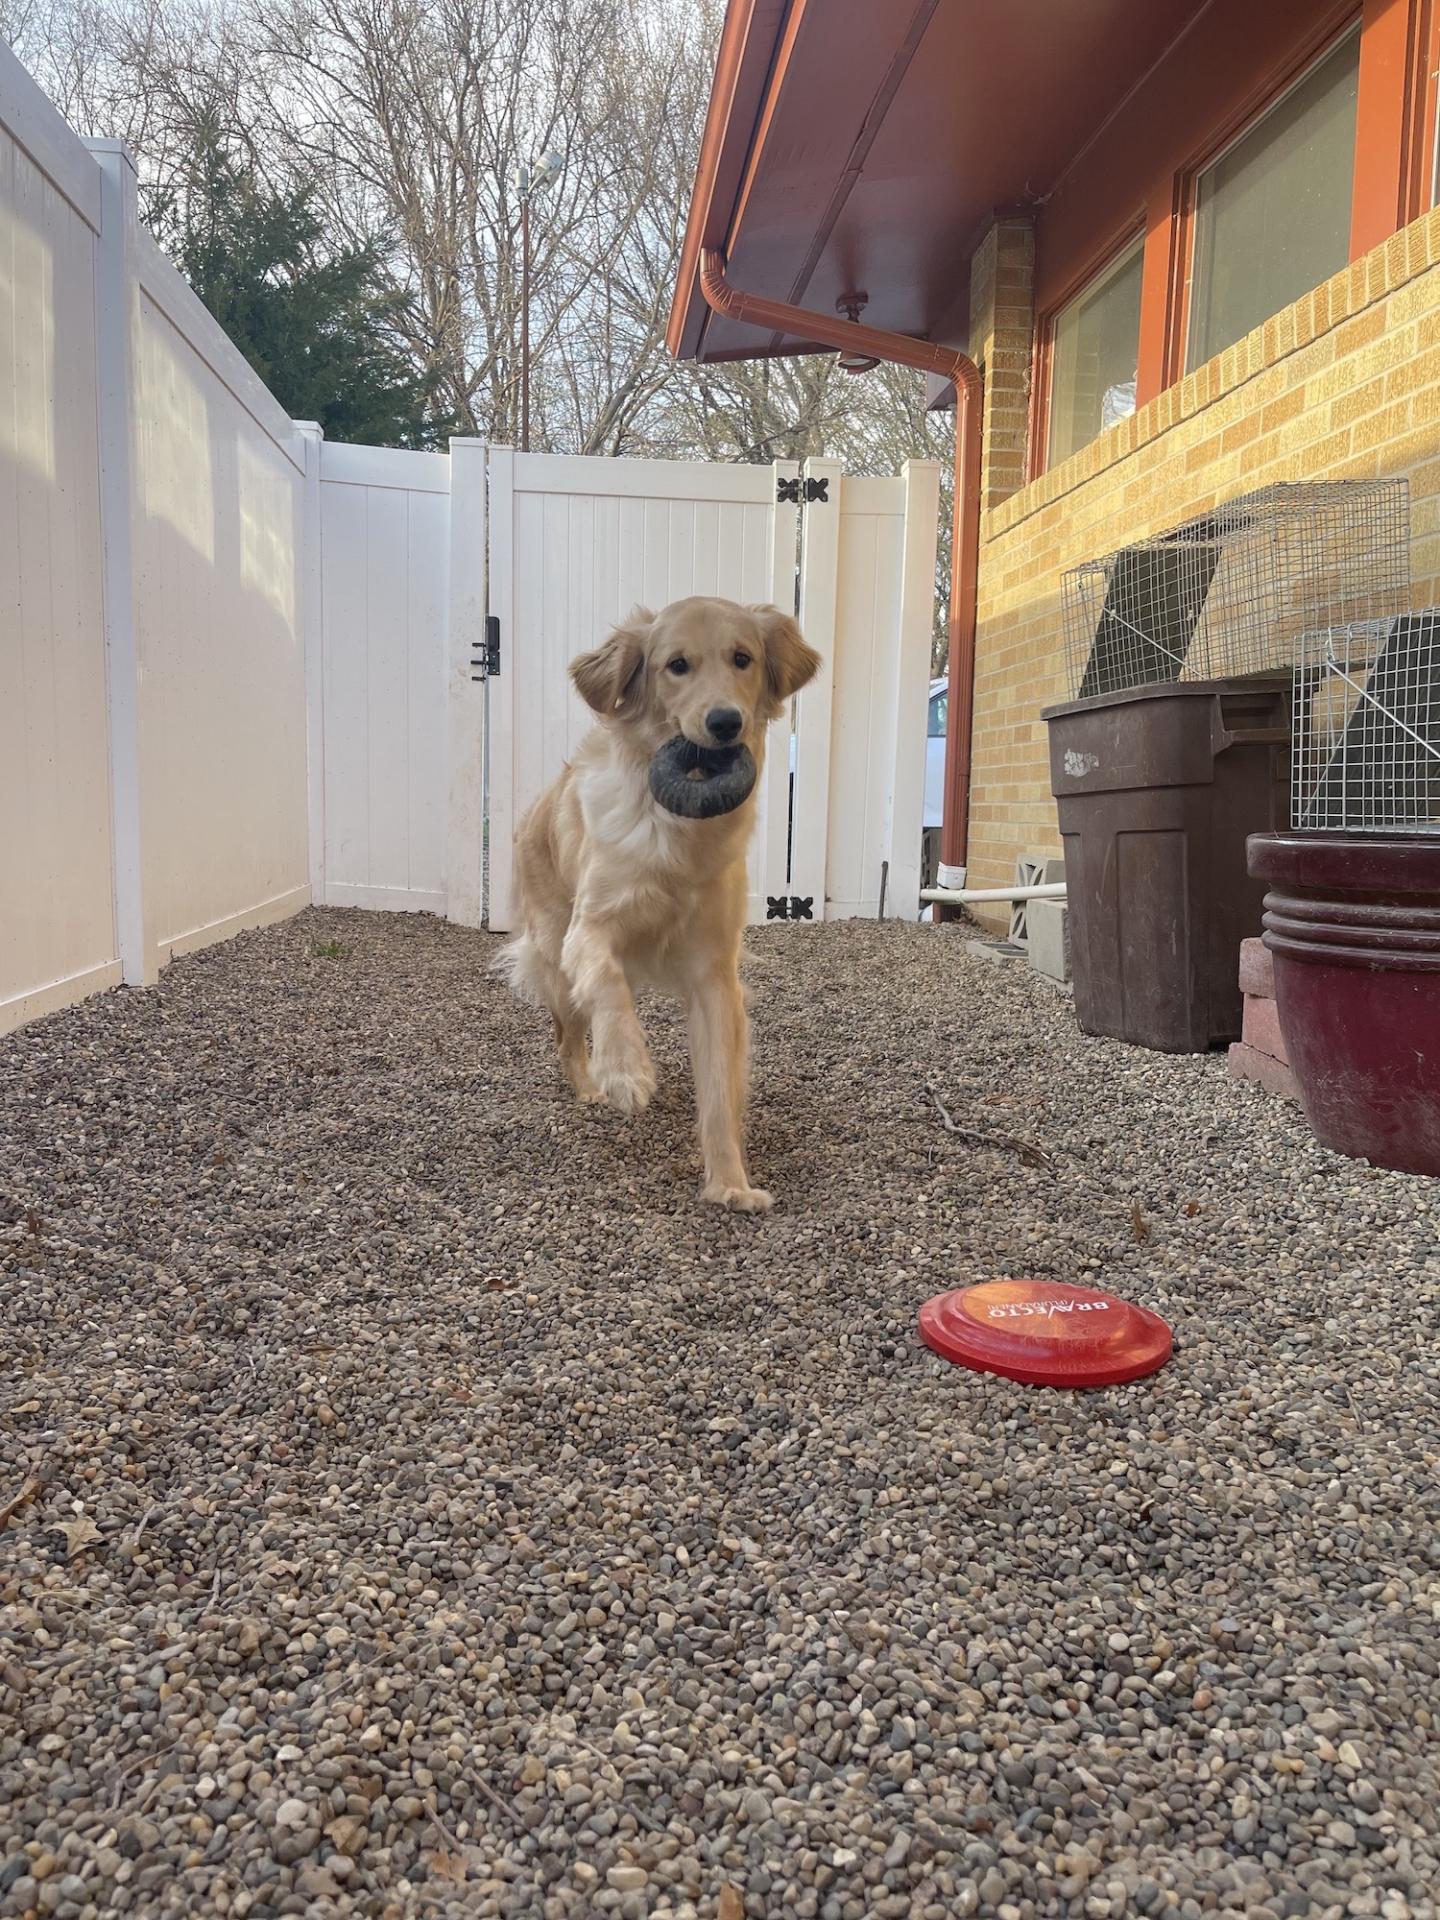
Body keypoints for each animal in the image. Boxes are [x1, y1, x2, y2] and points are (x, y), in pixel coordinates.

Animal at [503, 591, 821, 1205]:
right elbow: (609, 985)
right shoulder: (590, 930)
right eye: (677, 665)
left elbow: (719, 1087)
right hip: (555, 957)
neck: (679, 834)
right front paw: (626, 1071)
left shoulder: (714, 974)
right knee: (565, 1034)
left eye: (742, 659)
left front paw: (729, 1184)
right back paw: (590, 1087)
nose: (725, 722)